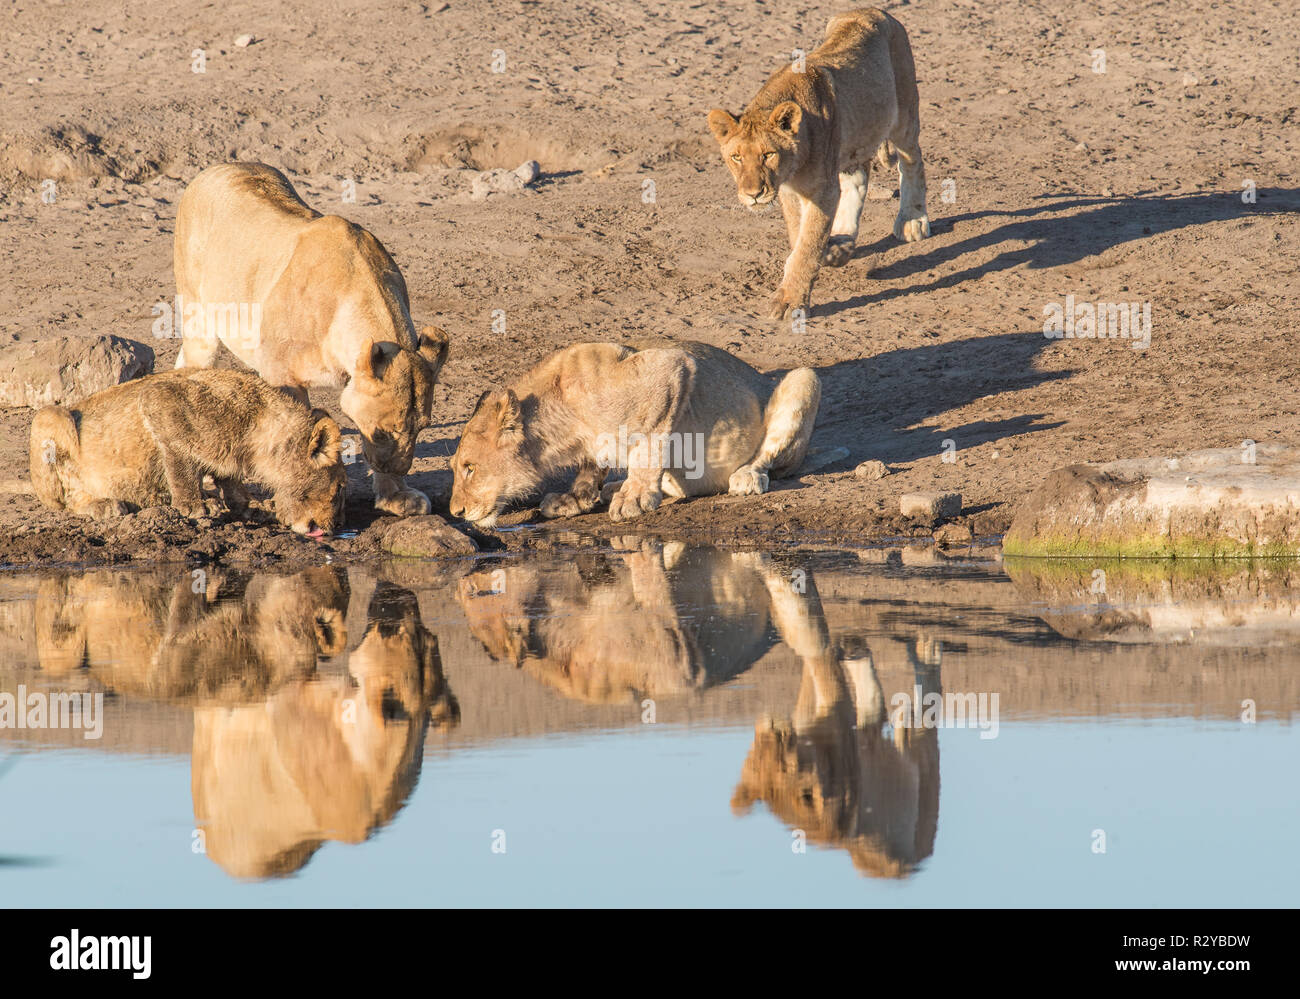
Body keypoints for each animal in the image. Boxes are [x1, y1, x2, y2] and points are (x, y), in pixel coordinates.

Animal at [30, 369, 345, 538]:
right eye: (341, 488)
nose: (331, 529)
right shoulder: (159, 397)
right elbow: (179, 463)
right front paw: (193, 507)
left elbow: (230, 479)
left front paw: (249, 506)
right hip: (52, 417)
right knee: (65, 500)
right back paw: (106, 505)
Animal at [172, 161, 449, 515]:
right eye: (384, 431)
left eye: (422, 427)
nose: (398, 468)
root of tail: (219, 166)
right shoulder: (282, 377)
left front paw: (396, 496)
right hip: (199, 318)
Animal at [447, 340, 842, 525]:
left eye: (470, 468)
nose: (455, 511)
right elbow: (592, 465)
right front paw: (576, 497)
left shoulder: (670, 368)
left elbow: (650, 446)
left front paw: (635, 498)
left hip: (805, 376)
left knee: (770, 460)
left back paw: (746, 477)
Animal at [707, 6, 930, 319]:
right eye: (736, 157)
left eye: (768, 154)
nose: (753, 194)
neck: (792, 166)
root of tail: (876, 10)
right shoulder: (790, 191)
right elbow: (800, 235)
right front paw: (831, 251)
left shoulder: (821, 190)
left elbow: (807, 244)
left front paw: (791, 301)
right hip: (854, 141)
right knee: (858, 179)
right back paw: (843, 238)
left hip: (904, 115)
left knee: (912, 163)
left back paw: (913, 220)